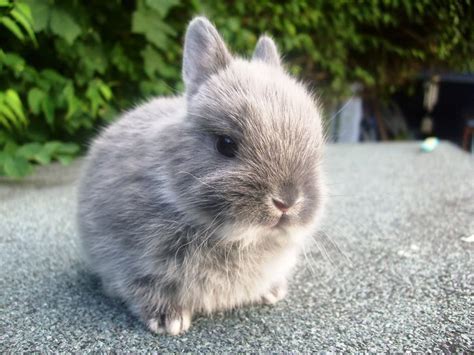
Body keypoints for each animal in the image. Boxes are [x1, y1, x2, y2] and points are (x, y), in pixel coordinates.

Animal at [78, 16, 328, 336]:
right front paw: (168, 321)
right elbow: (142, 288)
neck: (236, 237)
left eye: (316, 146)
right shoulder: (130, 261)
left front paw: (273, 292)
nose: (286, 202)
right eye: (226, 144)